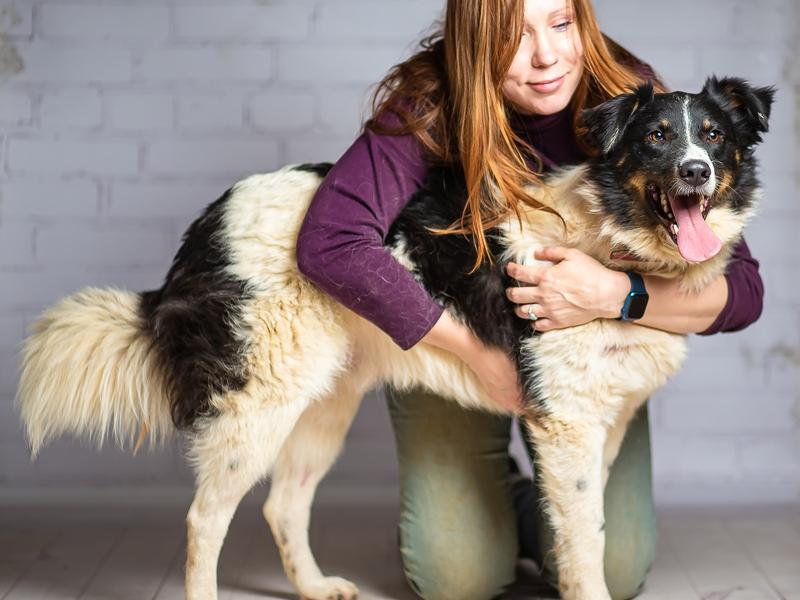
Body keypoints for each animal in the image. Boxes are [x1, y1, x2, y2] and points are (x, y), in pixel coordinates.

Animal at [15, 76, 772, 600]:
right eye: (656, 138)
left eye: (714, 136)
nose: (696, 172)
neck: (618, 242)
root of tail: (207, 225)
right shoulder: (568, 425)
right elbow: (588, 548)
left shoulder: (601, 425)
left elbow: (578, 535)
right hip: (257, 407)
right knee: (205, 520)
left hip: (322, 404)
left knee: (282, 505)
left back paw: (315, 587)